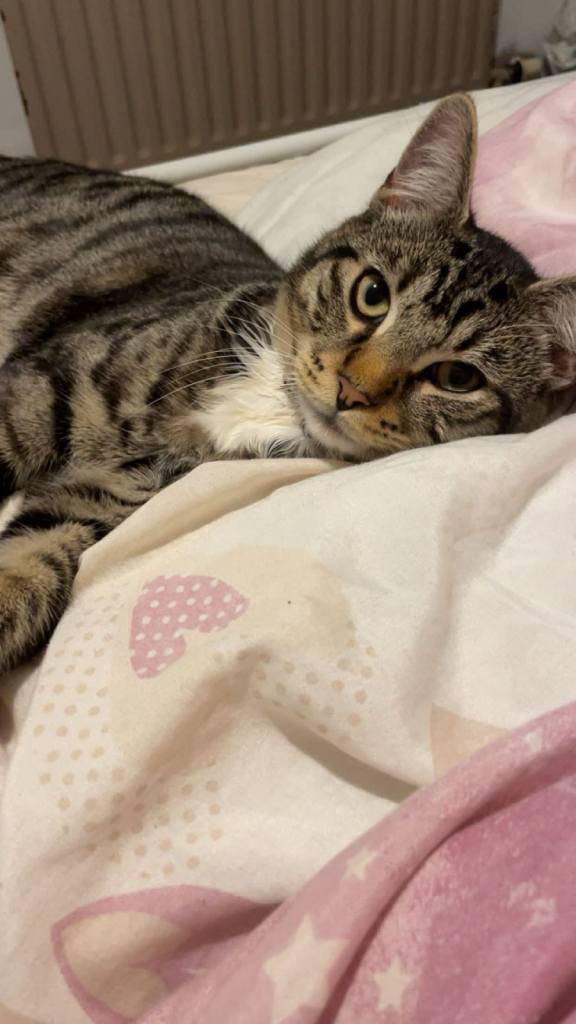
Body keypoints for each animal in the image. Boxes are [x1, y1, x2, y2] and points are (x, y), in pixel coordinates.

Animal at [0, 93, 573, 676]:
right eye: (372, 294)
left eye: (458, 377)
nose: (353, 390)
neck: (269, 400)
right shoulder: (40, 386)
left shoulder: (115, 488)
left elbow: (34, 555)